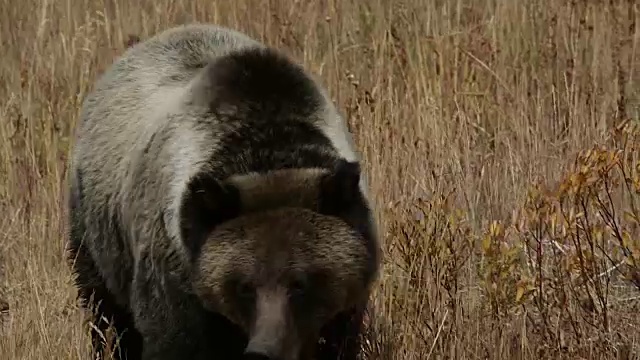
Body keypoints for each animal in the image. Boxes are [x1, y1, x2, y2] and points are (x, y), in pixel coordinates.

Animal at [66, 23, 380, 360]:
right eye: (244, 286)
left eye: (300, 283)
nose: (263, 351)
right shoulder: (176, 278)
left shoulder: (343, 309)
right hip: (97, 238)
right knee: (107, 314)